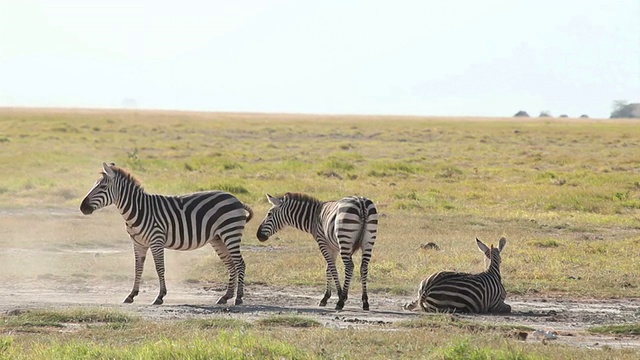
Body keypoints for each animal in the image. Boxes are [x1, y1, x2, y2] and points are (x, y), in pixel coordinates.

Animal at [82, 163, 255, 306]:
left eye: (103, 187)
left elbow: (160, 268)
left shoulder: (156, 240)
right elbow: (138, 268)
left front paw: (160, 297)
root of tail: (235, 199)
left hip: (230, 234)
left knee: (240, 263)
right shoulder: (138, 243)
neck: (138, 210)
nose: (82, 207)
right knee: (231, 265)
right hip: (218, 239)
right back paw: (225, 297)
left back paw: (239, 298)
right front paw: (131, 295)